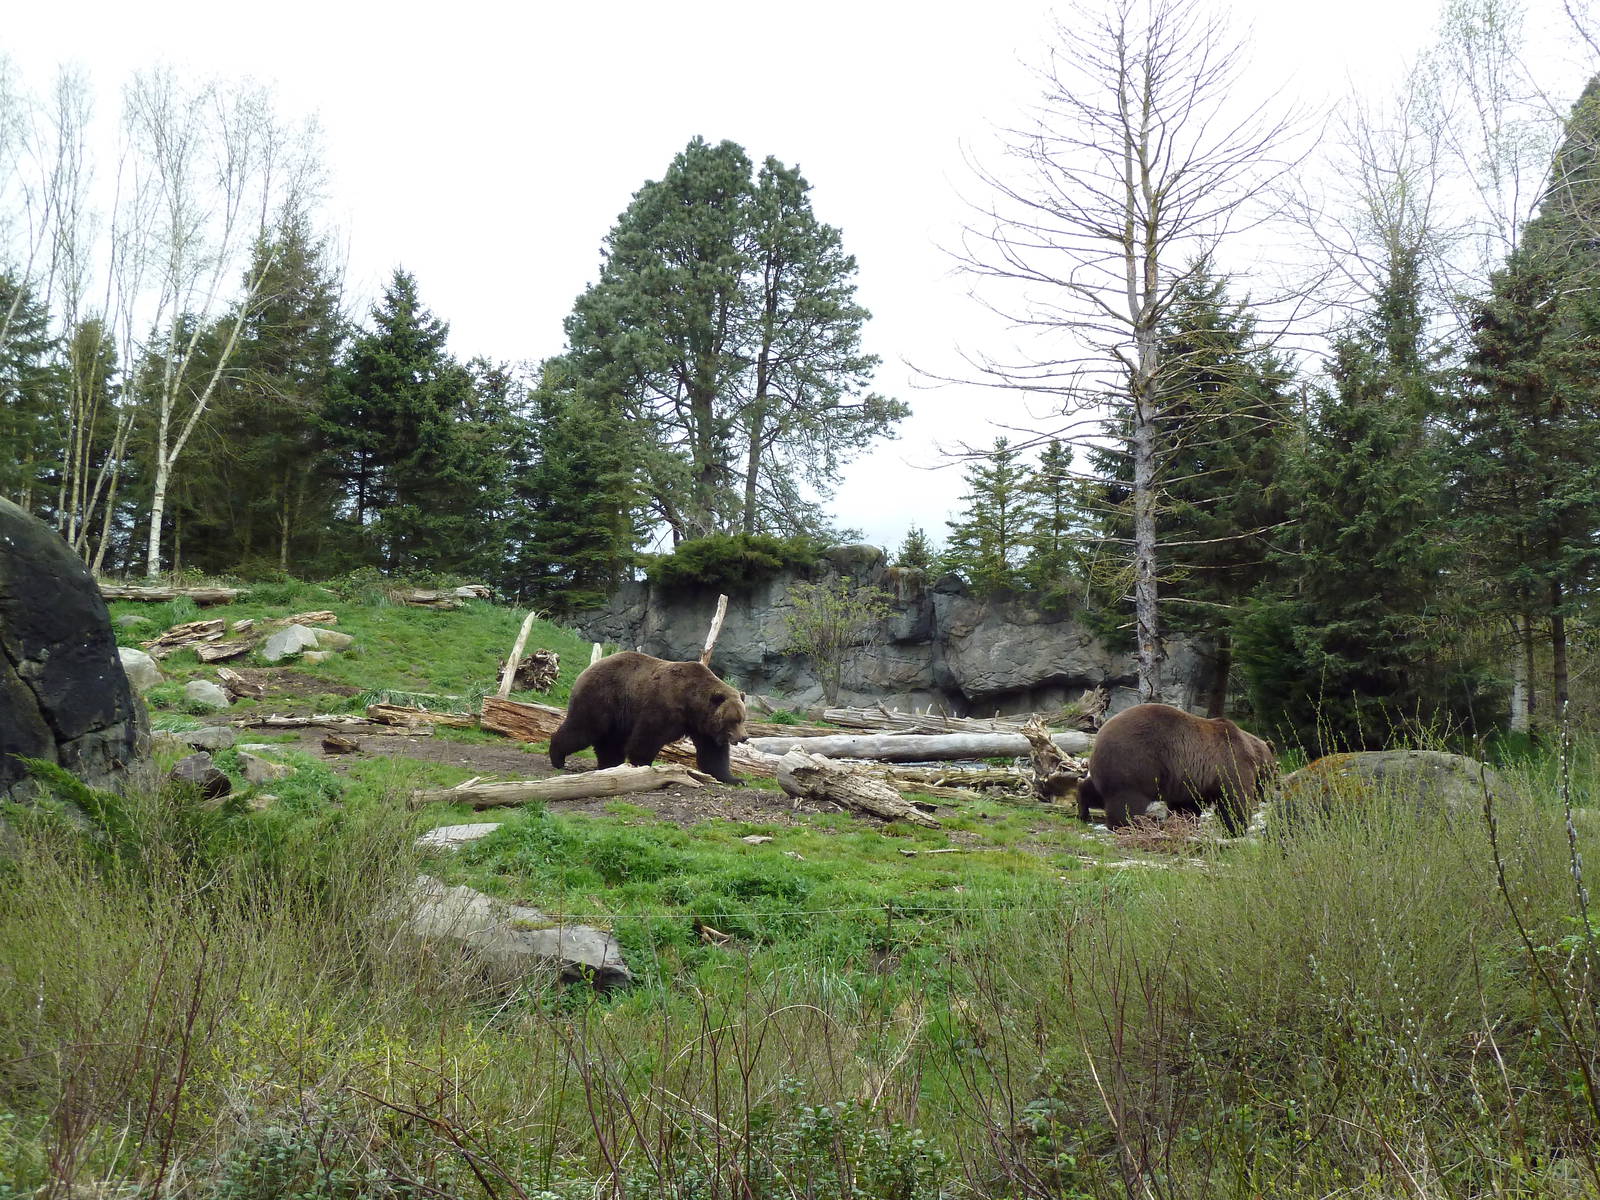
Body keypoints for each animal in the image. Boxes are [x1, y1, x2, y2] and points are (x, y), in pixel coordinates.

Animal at [548, 651, 750, 785]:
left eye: (742, 718)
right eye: (733, 720)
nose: (744, 737)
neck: (691, 703)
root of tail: (586, 670)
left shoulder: (702, 726)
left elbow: (713, 753)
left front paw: (735, 779)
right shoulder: (663, 707)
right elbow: (647, 738)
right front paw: (642, 766)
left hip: (619, 713)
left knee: (610, 741)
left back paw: (609, 765)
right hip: (602, 698)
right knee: (583, 728)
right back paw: (558, 758)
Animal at [1076, 702, 1275, 835]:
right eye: (1275, 769)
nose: (1270, 793)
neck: (1253, 754)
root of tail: (1100, 734)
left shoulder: (1189, 780)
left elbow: (1186, 805)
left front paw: (1184, 823)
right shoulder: (1229, 762)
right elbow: (1234, 797)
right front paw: (1236, 828)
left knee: (1096, 789)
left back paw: (1083, 809)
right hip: (1135, 763)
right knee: (1127, 801)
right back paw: (1133, 824)